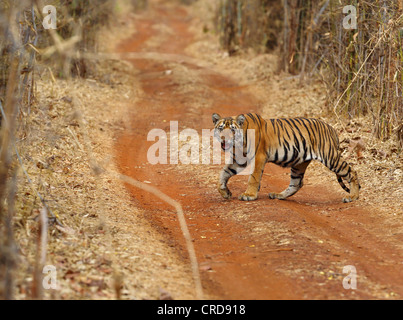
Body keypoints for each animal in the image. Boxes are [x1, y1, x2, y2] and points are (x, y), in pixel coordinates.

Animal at [213, 112, 362, 202]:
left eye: (232, 130)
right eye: (221, 128)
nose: (224, 138)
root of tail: (332, 129)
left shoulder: (258, 157)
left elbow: (253, 178)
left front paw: (249, 195)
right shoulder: (239, 160)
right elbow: (224, 173)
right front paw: (225, 192)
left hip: (330, 158)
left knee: (351, 171)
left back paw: (353, 196)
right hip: (299, 164)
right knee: (297, 183)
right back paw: (278, 195)